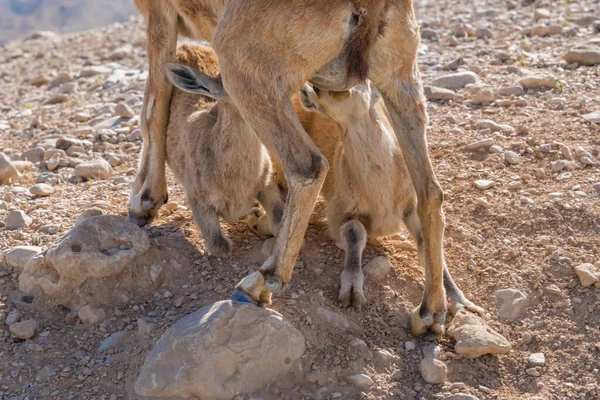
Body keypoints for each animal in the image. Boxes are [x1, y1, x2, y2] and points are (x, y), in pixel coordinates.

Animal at [298, 83, 486, 318]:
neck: (381, 193)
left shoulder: (410, 206)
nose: (318, 88)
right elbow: (356, 235)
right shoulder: (341, 213)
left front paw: (462, 302)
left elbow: (428, 244)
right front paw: (352, 292)